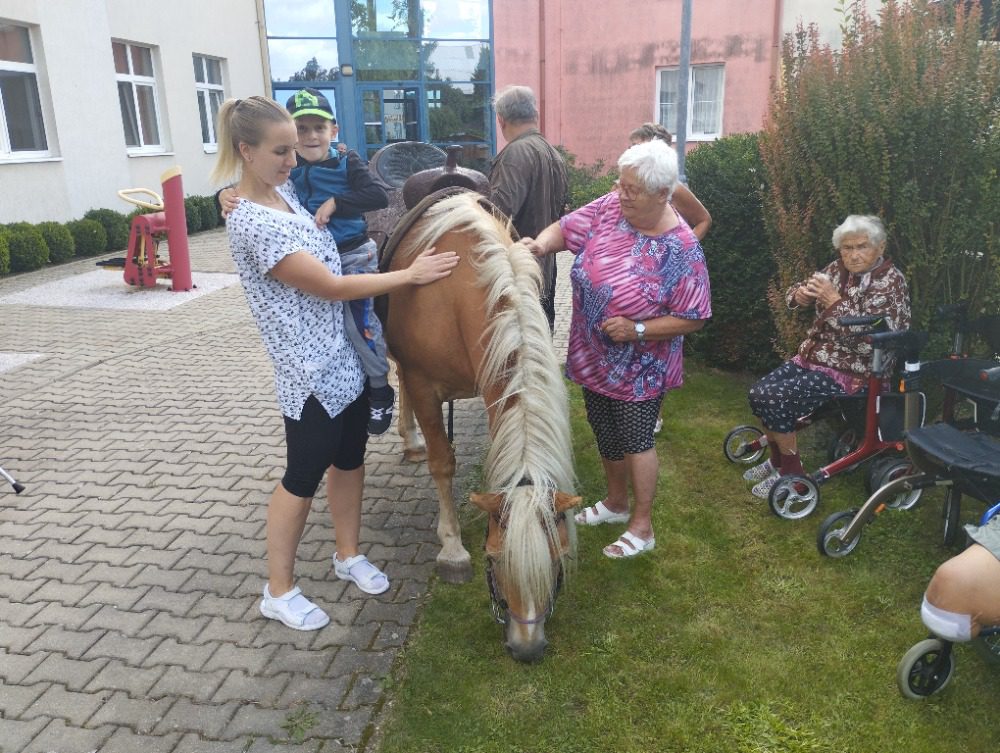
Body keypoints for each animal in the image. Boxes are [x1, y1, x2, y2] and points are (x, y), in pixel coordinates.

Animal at [381, 190, 579, 663]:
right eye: (493, 559)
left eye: (557, 560)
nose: (527, 648)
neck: (455, 294)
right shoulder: (424, 385)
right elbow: (442, 463)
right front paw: (452, 549)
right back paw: (410, 437)